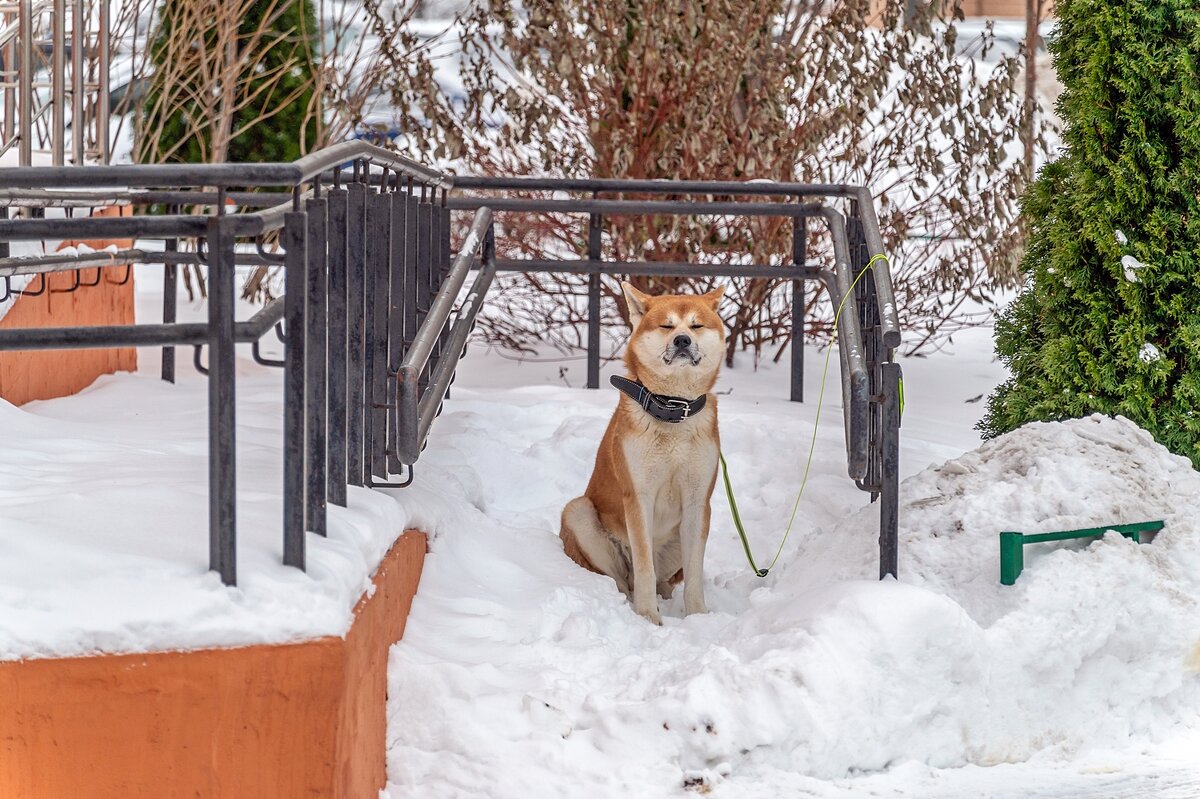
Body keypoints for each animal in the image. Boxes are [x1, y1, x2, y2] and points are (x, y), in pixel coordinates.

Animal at [559, 279, 724, 623]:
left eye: (696, 325)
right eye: (666, 325)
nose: (682, 340)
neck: (672, 408)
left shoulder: (698, 502)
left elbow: (695, 571)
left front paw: (698, 616)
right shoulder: (638, 496)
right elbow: (644, 565)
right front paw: (648, 617)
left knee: (666, 579)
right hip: (579, 513)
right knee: (624, 580)